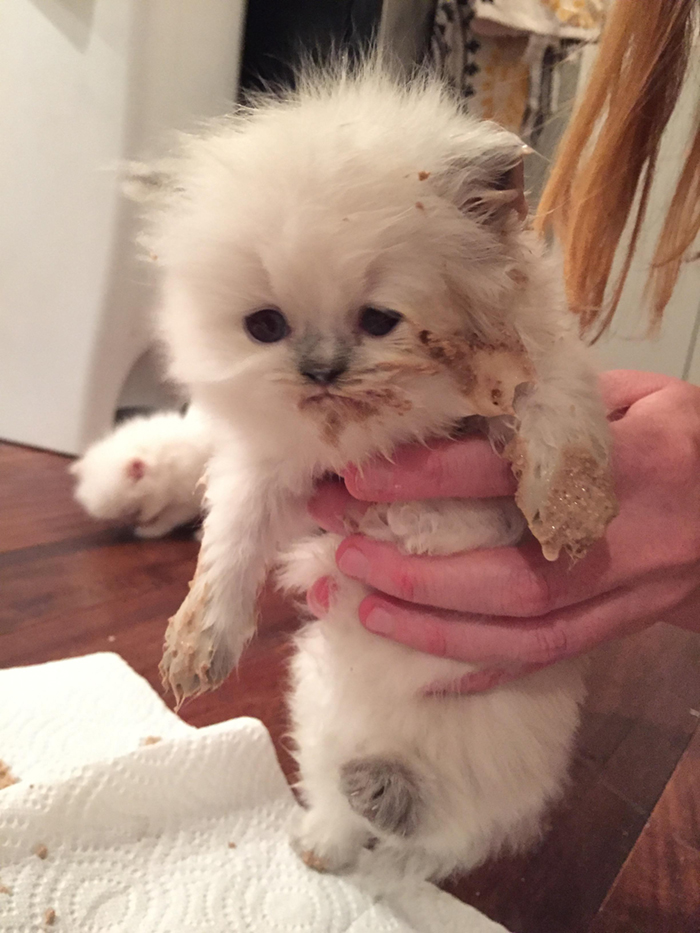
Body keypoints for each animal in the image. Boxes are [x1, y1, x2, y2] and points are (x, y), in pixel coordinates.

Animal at [73, 408, 213, 540]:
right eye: (127, 513)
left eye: (135, 510)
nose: (139, 520)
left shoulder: (187, 502)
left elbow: (168, 519)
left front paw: (149, 531)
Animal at [138, 63, 616, 880]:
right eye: (265, 326)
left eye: (379, 320)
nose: (321, 370)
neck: (387, 438)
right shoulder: (267, 476)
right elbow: (230, 548)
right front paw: (196, 654)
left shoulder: (543, 373)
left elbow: (555, 425)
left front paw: (569, 524)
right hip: (325, 715)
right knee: (355, 805)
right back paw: (331, 838)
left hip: (498, 768)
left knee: (443, 834)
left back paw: (386, 802)